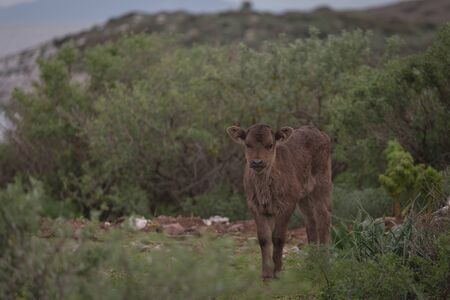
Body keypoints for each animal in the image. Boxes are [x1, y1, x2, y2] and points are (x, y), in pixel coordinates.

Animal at [229, 123, 330, 278]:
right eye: (248, 144)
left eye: (270, 145)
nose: (257, 162)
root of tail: (321, 133)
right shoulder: (255, 206)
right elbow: (264, 238)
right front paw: (266, 274)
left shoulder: (287, 204)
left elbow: (278, 237)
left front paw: (277, 272)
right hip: (304, 196)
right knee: (310, 220)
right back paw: (311, 262)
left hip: (322, 183)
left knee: (323, 217)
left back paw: (324, 261)